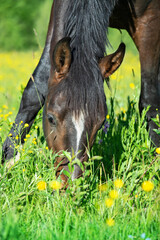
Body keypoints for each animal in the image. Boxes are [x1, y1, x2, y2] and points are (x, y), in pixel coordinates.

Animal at [1, 0, 160, 186]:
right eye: (51, 118)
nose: (69, 182)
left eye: (100, 123)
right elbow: (35, 87)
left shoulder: (150, 21)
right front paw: (8, 160)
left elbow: (149, 101)